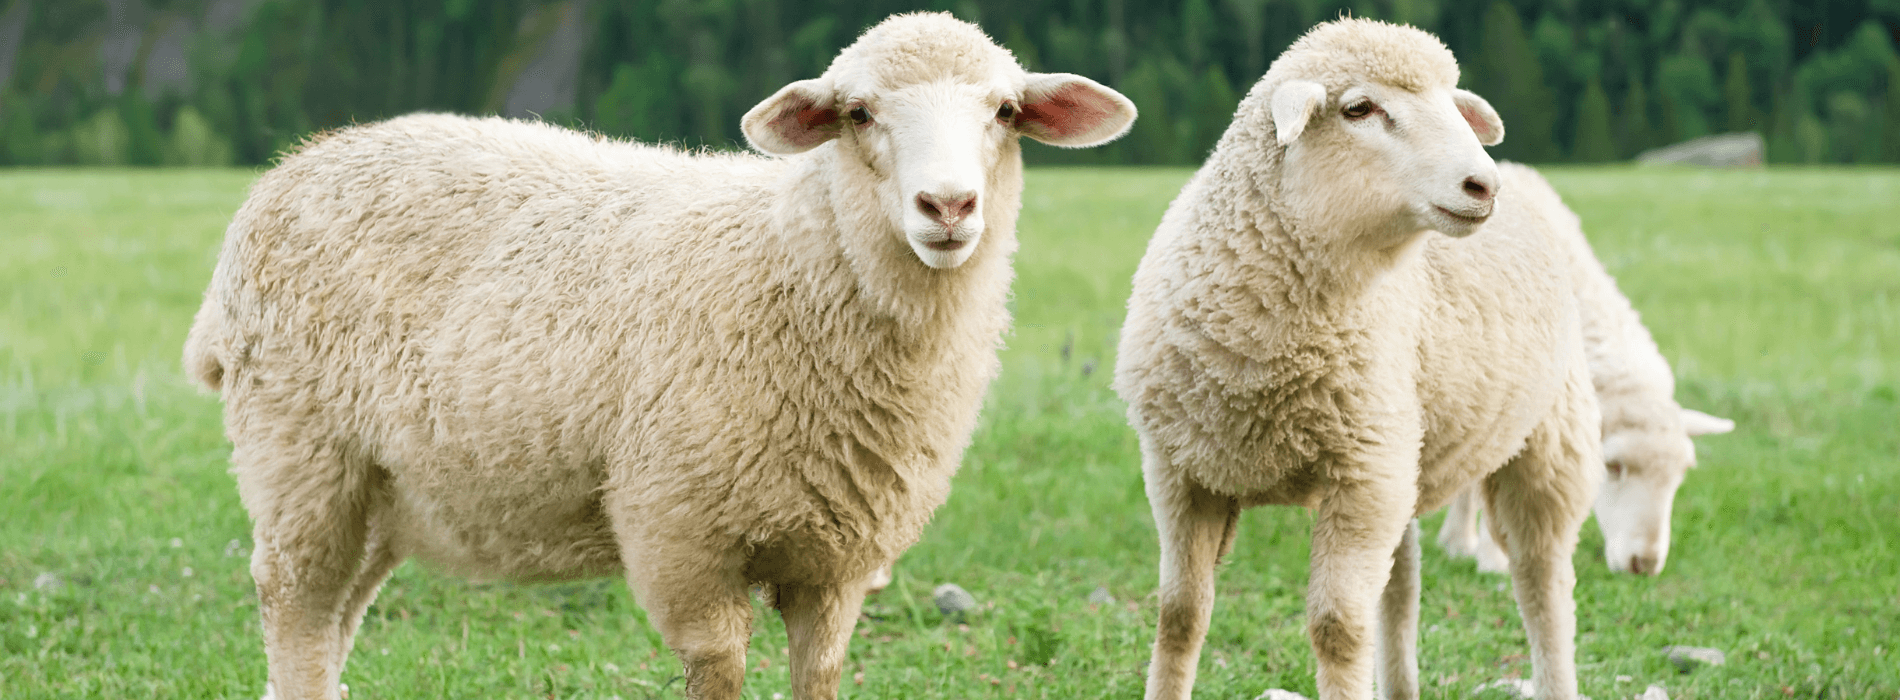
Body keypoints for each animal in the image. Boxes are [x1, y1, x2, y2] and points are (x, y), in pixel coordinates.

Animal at [181, 13, 1134, 700]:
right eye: (859, 113)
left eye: (1003, 112)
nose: (949, 207)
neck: (792, 262)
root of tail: (292, 167)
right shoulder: (684, 539)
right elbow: (718, 674)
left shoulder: (838, 561)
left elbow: (819, 677)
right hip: (301, 458)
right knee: (297, 615)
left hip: (380, 488)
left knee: (333, 623)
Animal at [1113, 19, 1600, 700]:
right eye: (1359, 109)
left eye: (1454, 104)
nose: (1483, 186)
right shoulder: (1179, 471)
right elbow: (1179, 614)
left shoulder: (1362, 476)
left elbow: (1337, 627)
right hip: (1405, 456)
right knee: (1402, 586)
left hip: (1544, 442)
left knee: (1543, 584)